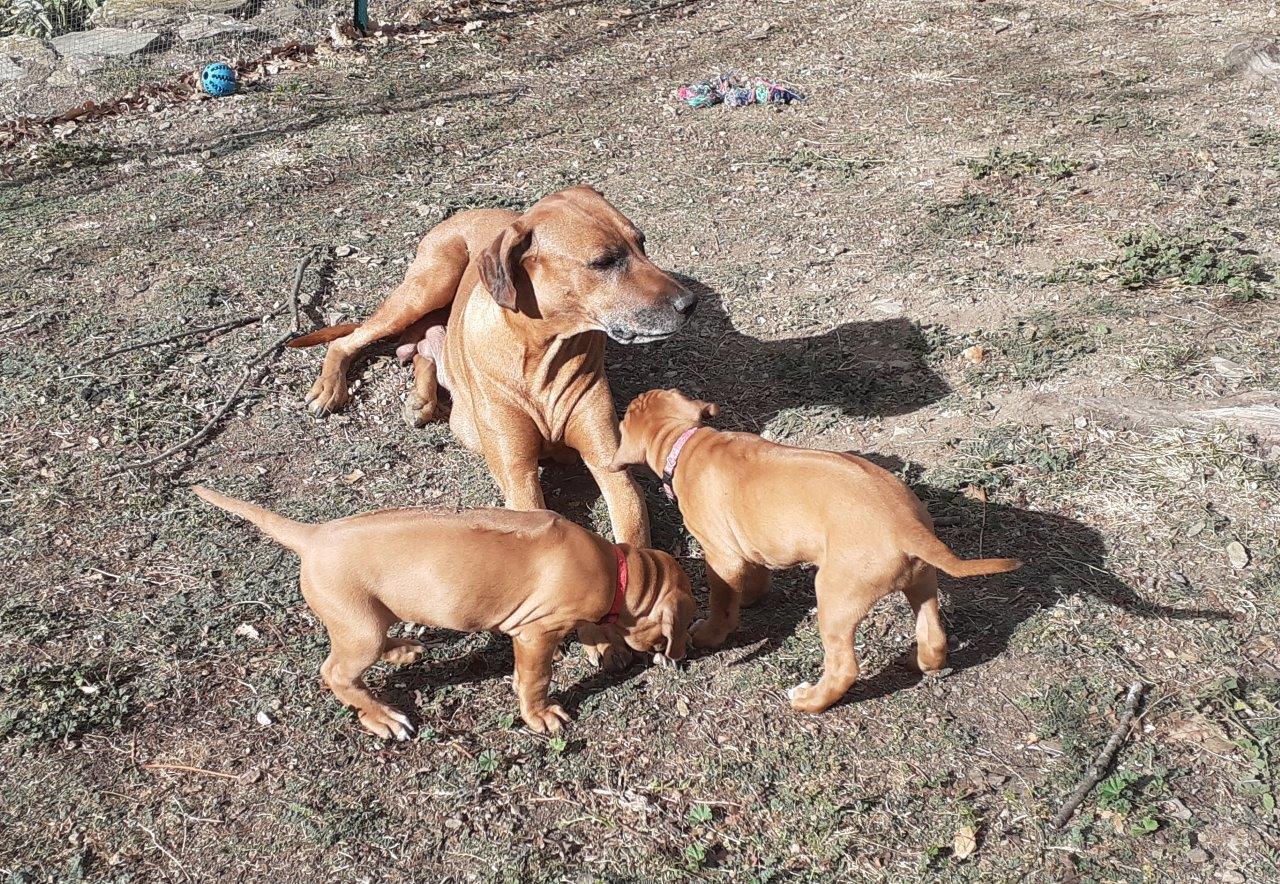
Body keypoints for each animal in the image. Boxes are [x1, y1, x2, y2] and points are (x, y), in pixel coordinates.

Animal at [193, 491, 696, 741]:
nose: (683, 655)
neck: (618, 570)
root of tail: (312, 537)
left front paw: (603, 647)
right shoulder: (535, 633)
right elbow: (535, 678)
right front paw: (539, 714)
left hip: (371, 619)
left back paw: (403, 652)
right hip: (358, 629)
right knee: (337, 673)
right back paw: (382, 717)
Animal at [289, 182, 696, 550]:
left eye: (641, 243)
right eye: (604, 262)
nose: (689, 303)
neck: (543, 355)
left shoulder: (611, 467)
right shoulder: (518, 475)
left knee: (424, 349)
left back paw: (421, 400)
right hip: (426, 286)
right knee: (350, 341)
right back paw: (329, 389)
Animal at [609, 391, 1018, 716]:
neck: (687, 442)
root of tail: (907, 525)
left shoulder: (723, 558)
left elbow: (722, 604)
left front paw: (711, 633)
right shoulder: (750, 547)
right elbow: (756, 575)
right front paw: (752, 597)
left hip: (835, 597)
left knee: (845, 668)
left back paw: (810, 701)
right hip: (922, 580)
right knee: (933, 635)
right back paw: (922, 660)